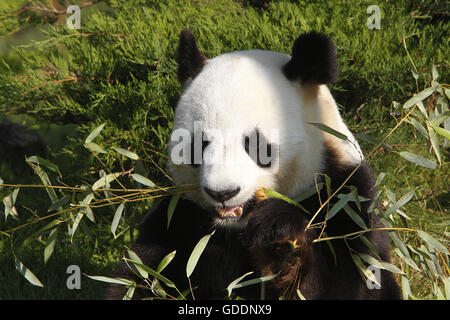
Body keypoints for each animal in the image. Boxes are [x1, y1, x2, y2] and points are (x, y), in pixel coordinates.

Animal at [106, 28, 400, 298]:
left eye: (256, 145)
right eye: (200, 144)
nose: (223, 192)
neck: (234, 228)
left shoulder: (345, 195)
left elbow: (355, 278)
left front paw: (281, 243)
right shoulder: (179, 218)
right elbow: (141, 276)